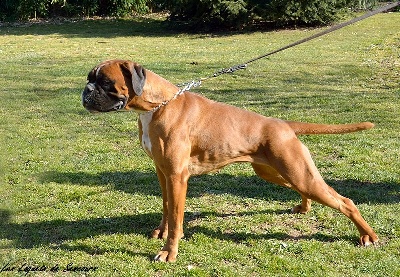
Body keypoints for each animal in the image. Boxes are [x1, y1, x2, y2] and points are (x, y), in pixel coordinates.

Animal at [82, 58, 378, 260]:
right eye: (90, 78)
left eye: (106, 82)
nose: (85, 90)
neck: (157, 106)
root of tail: (283, 125)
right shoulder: (162, 172)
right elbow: (166, 207)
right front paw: (161, 232)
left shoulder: (177, 176)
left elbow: (177, 217)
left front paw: (169, 252)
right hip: (278, 172)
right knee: (304, 190)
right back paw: (304, 207)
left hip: (299, 173)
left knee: (346, 202)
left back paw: (369, 236)